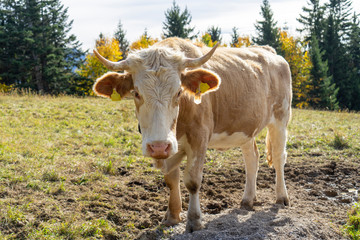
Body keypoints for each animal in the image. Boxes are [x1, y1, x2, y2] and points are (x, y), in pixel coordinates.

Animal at [91, 38, 292, 232]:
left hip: (281, 118)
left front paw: (194, 220)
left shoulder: (199, 138)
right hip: (246, 128)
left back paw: (282, 197)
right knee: (252, 159)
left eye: (179, 92)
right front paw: (172, 216)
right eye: (136, 93)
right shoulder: (170, 147)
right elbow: (171, 180)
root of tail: (269, 51)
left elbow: (193, 180)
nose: (157, 146)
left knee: (279, 157)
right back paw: (247, 200)